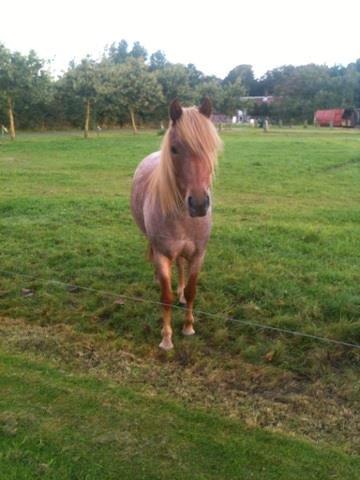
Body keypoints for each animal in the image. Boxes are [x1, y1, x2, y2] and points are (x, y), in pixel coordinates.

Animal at [131, 99, 222, 350]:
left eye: (211, 147)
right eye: (174, 149)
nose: (199, 204)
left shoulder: (199, 254)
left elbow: (191, 291)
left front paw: (189, 327)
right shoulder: (163, 255)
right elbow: (166, 297)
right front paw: (166, 338)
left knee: (180, 265)